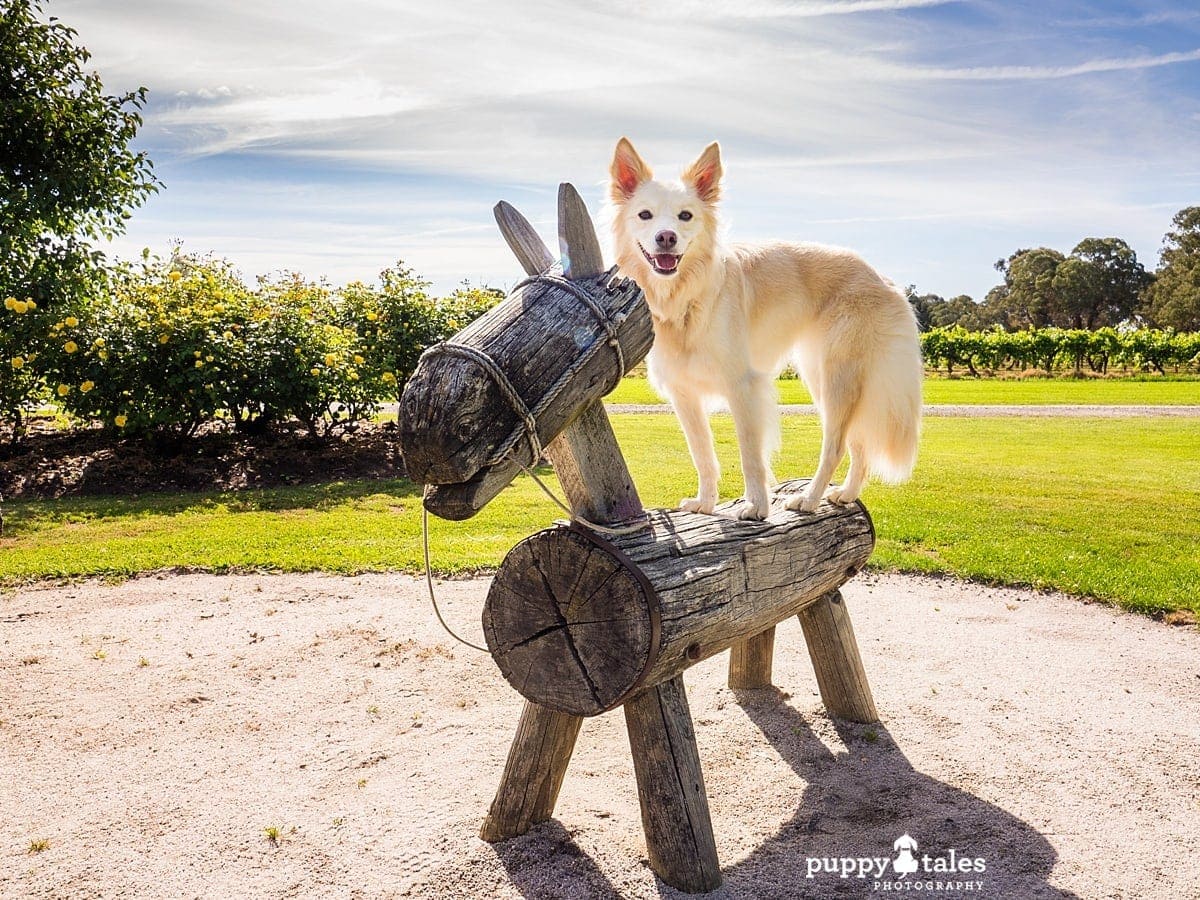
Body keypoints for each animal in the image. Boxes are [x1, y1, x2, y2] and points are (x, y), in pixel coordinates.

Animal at [604, 140, 921, 520]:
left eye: (685, 216)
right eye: (645, 215)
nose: (666, 238)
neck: (687, 297)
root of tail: (882, 279)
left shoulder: (742, 387)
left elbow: (750, 455)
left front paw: (756, 506)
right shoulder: (684, 395)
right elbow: (702, 455)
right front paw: (705, 504)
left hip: (836, 379)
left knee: (835, 447)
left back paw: (809, 500)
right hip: (826, 377)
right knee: (855, 443)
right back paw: (845, 494)